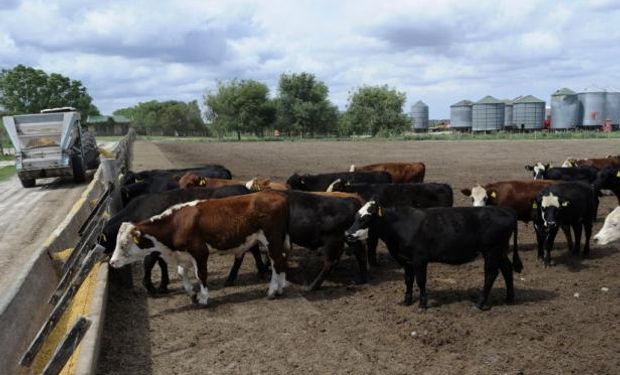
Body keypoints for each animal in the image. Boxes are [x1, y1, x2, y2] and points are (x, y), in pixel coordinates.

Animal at [109, 191, 290, 306]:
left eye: (123, 244)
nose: (112, 262)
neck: (176, 224)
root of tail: (279, 196)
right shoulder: (183, 254)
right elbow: (182, 273)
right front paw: (192, 293)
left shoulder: (200, 252)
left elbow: (201, 274)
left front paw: (203, 298)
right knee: (279, 260)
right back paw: (280, 288)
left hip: (271, 239)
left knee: (276, 262)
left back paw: (272, 290)